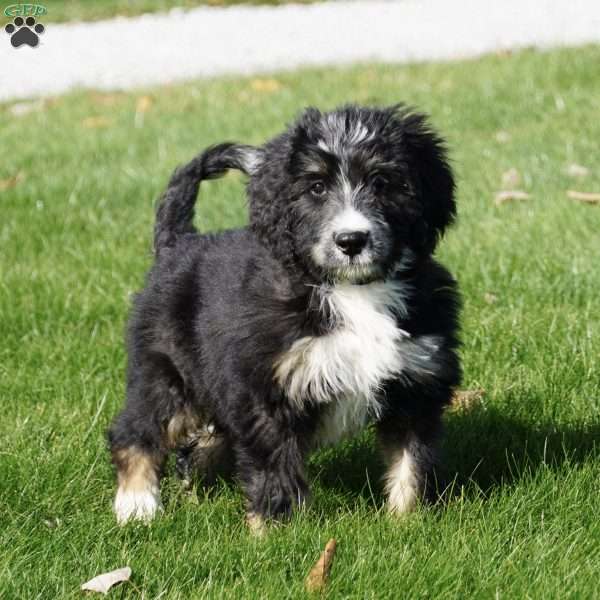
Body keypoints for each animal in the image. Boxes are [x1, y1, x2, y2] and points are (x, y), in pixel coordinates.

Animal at [108, 105, 462, 528]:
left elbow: (411, 460)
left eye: (382, 182)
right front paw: (277, 530)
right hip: (167, 372)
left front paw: (408, 520)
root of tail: (177, 242)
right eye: (316, 188)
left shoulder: (417, 383)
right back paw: (137, 504)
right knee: (137, 429)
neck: (353, 291)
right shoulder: (267, 388)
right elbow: (273, 464)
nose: (351, 241)